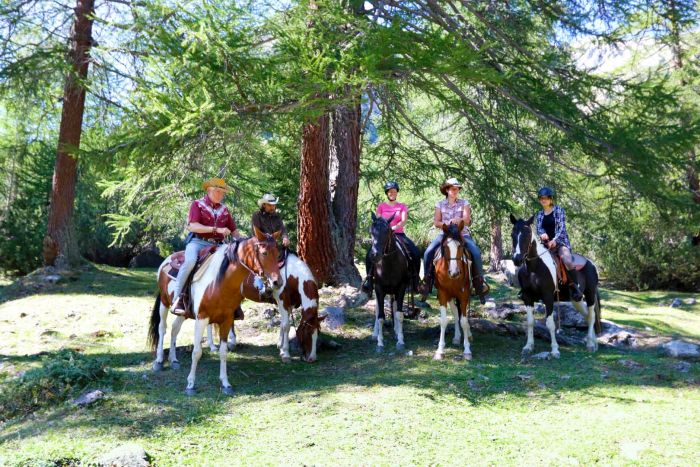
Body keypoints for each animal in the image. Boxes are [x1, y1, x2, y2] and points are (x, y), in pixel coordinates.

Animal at [148, 229, 282, 396]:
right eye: (264, 253)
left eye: (278, 253)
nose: (277, 282)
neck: (219, 283)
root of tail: (166, 261)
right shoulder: (201, 318)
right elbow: (196, 352)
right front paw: (190, 385)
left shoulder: (226, 320)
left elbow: (223, 352)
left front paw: (225, 384)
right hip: (165, 304)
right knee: (162, 328)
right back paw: (159, 361)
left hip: (184, 313)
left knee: (174, 329)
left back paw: (173, 360)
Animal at [370, 210, 412, 352]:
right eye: (371, 231)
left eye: (387, 231)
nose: (374, 255)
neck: (389, 263)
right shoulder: (378, 288)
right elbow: (380, 316)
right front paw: (379, 343)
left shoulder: (401, 287)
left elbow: (399, 314)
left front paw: (400, 340)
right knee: (378, 309)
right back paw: (375, 334)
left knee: (393, 306)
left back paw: (396, 331)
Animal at [432, 222, 476, 362]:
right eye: (445, 246)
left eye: (461, 246)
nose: (454, 272)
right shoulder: (443, 294)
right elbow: (444, 321)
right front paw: (440, 351)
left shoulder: (464, 295)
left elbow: (464, 321)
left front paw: (467, 350)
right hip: (451, 296)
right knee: (456, 313)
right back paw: (457, 337)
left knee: (462, 316)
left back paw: (468, 334)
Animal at [508, 216, 600, 358]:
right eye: (512, 234)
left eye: (528, 234)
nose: (517, 259)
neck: (534, 268)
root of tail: (591, 263)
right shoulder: (527, 297)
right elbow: (530, 322)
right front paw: (528, 346)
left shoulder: (548, 297)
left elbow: (550, 324)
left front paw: (555, 350)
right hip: (576, 299)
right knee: (587, 315)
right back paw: (594, 343)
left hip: (590, 294)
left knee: (591, 317)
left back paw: (590, 344)